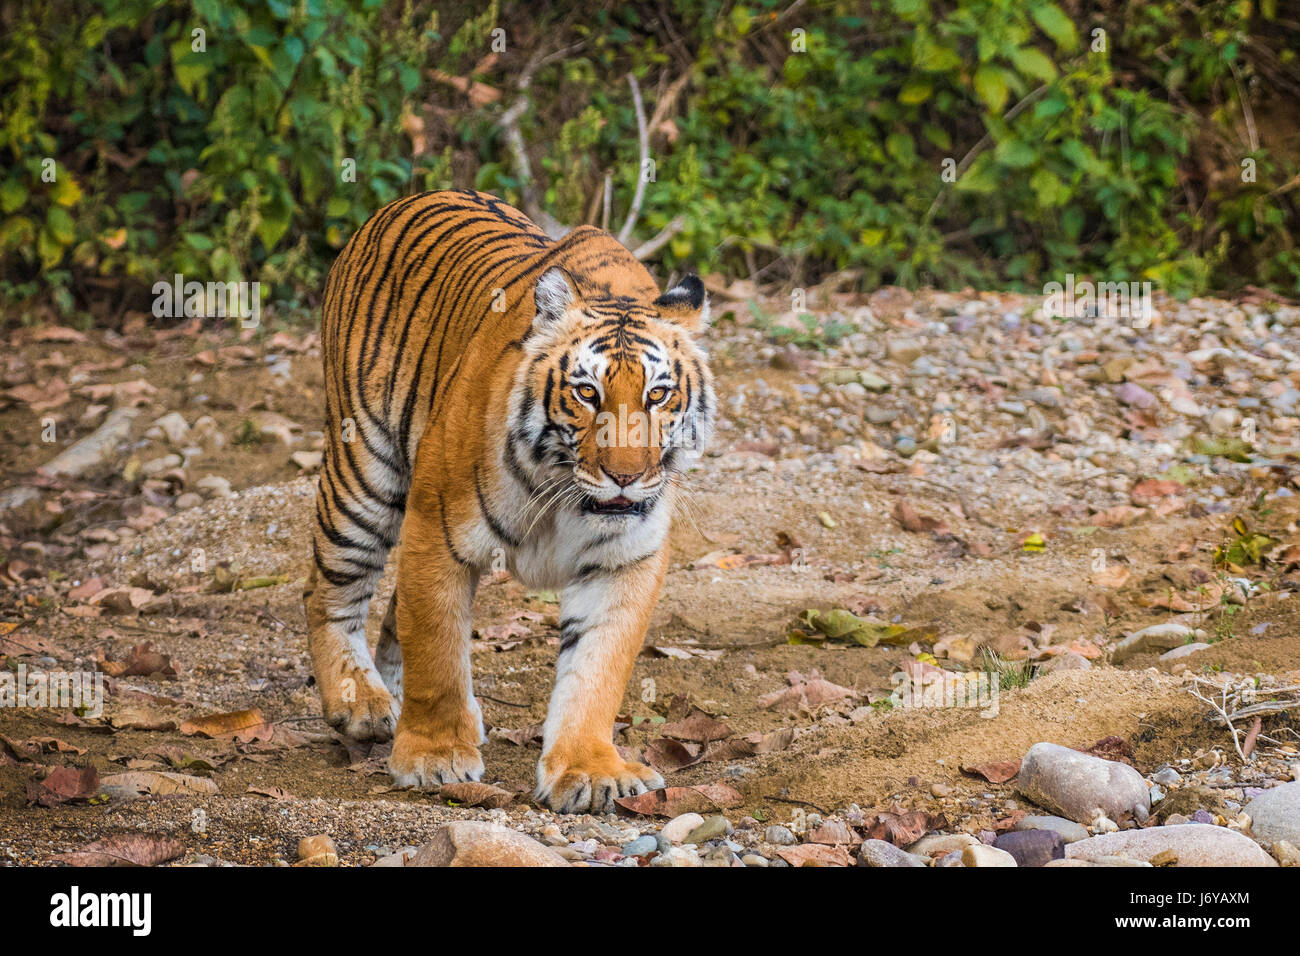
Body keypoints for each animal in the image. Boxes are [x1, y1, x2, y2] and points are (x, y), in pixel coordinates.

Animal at [300, 188, 717, 816]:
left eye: (658, 395)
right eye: (587, 392)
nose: (625, 477)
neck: (565, 493)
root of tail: (405, 200)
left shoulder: (625, 561)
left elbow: (596, 670)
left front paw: (590, 771)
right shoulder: (437, 530)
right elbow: (438, 652)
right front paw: (435, 758)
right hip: (363, 470)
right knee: (329, 589)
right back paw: (361, 703)